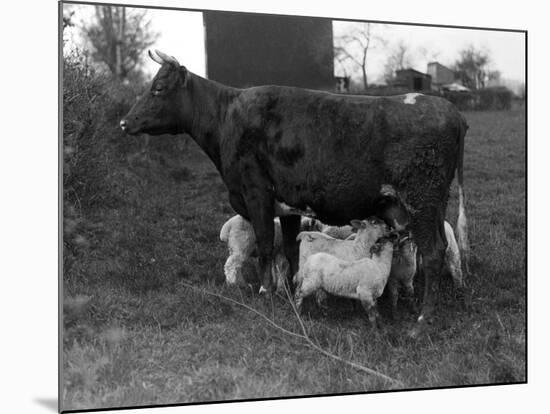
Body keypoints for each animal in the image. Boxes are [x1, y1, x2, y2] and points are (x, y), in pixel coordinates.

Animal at [121, 50, 470, 334]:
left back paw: (422, 320)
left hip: (422, 200)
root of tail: (448, 108)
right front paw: (289, 291)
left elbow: (265, 244)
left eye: (158, 88)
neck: (227, 118)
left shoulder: (256, 193)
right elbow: (289, 250)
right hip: (433, 205)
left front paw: (266, 292)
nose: (125, 122)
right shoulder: (287, 205)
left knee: (434, 252)